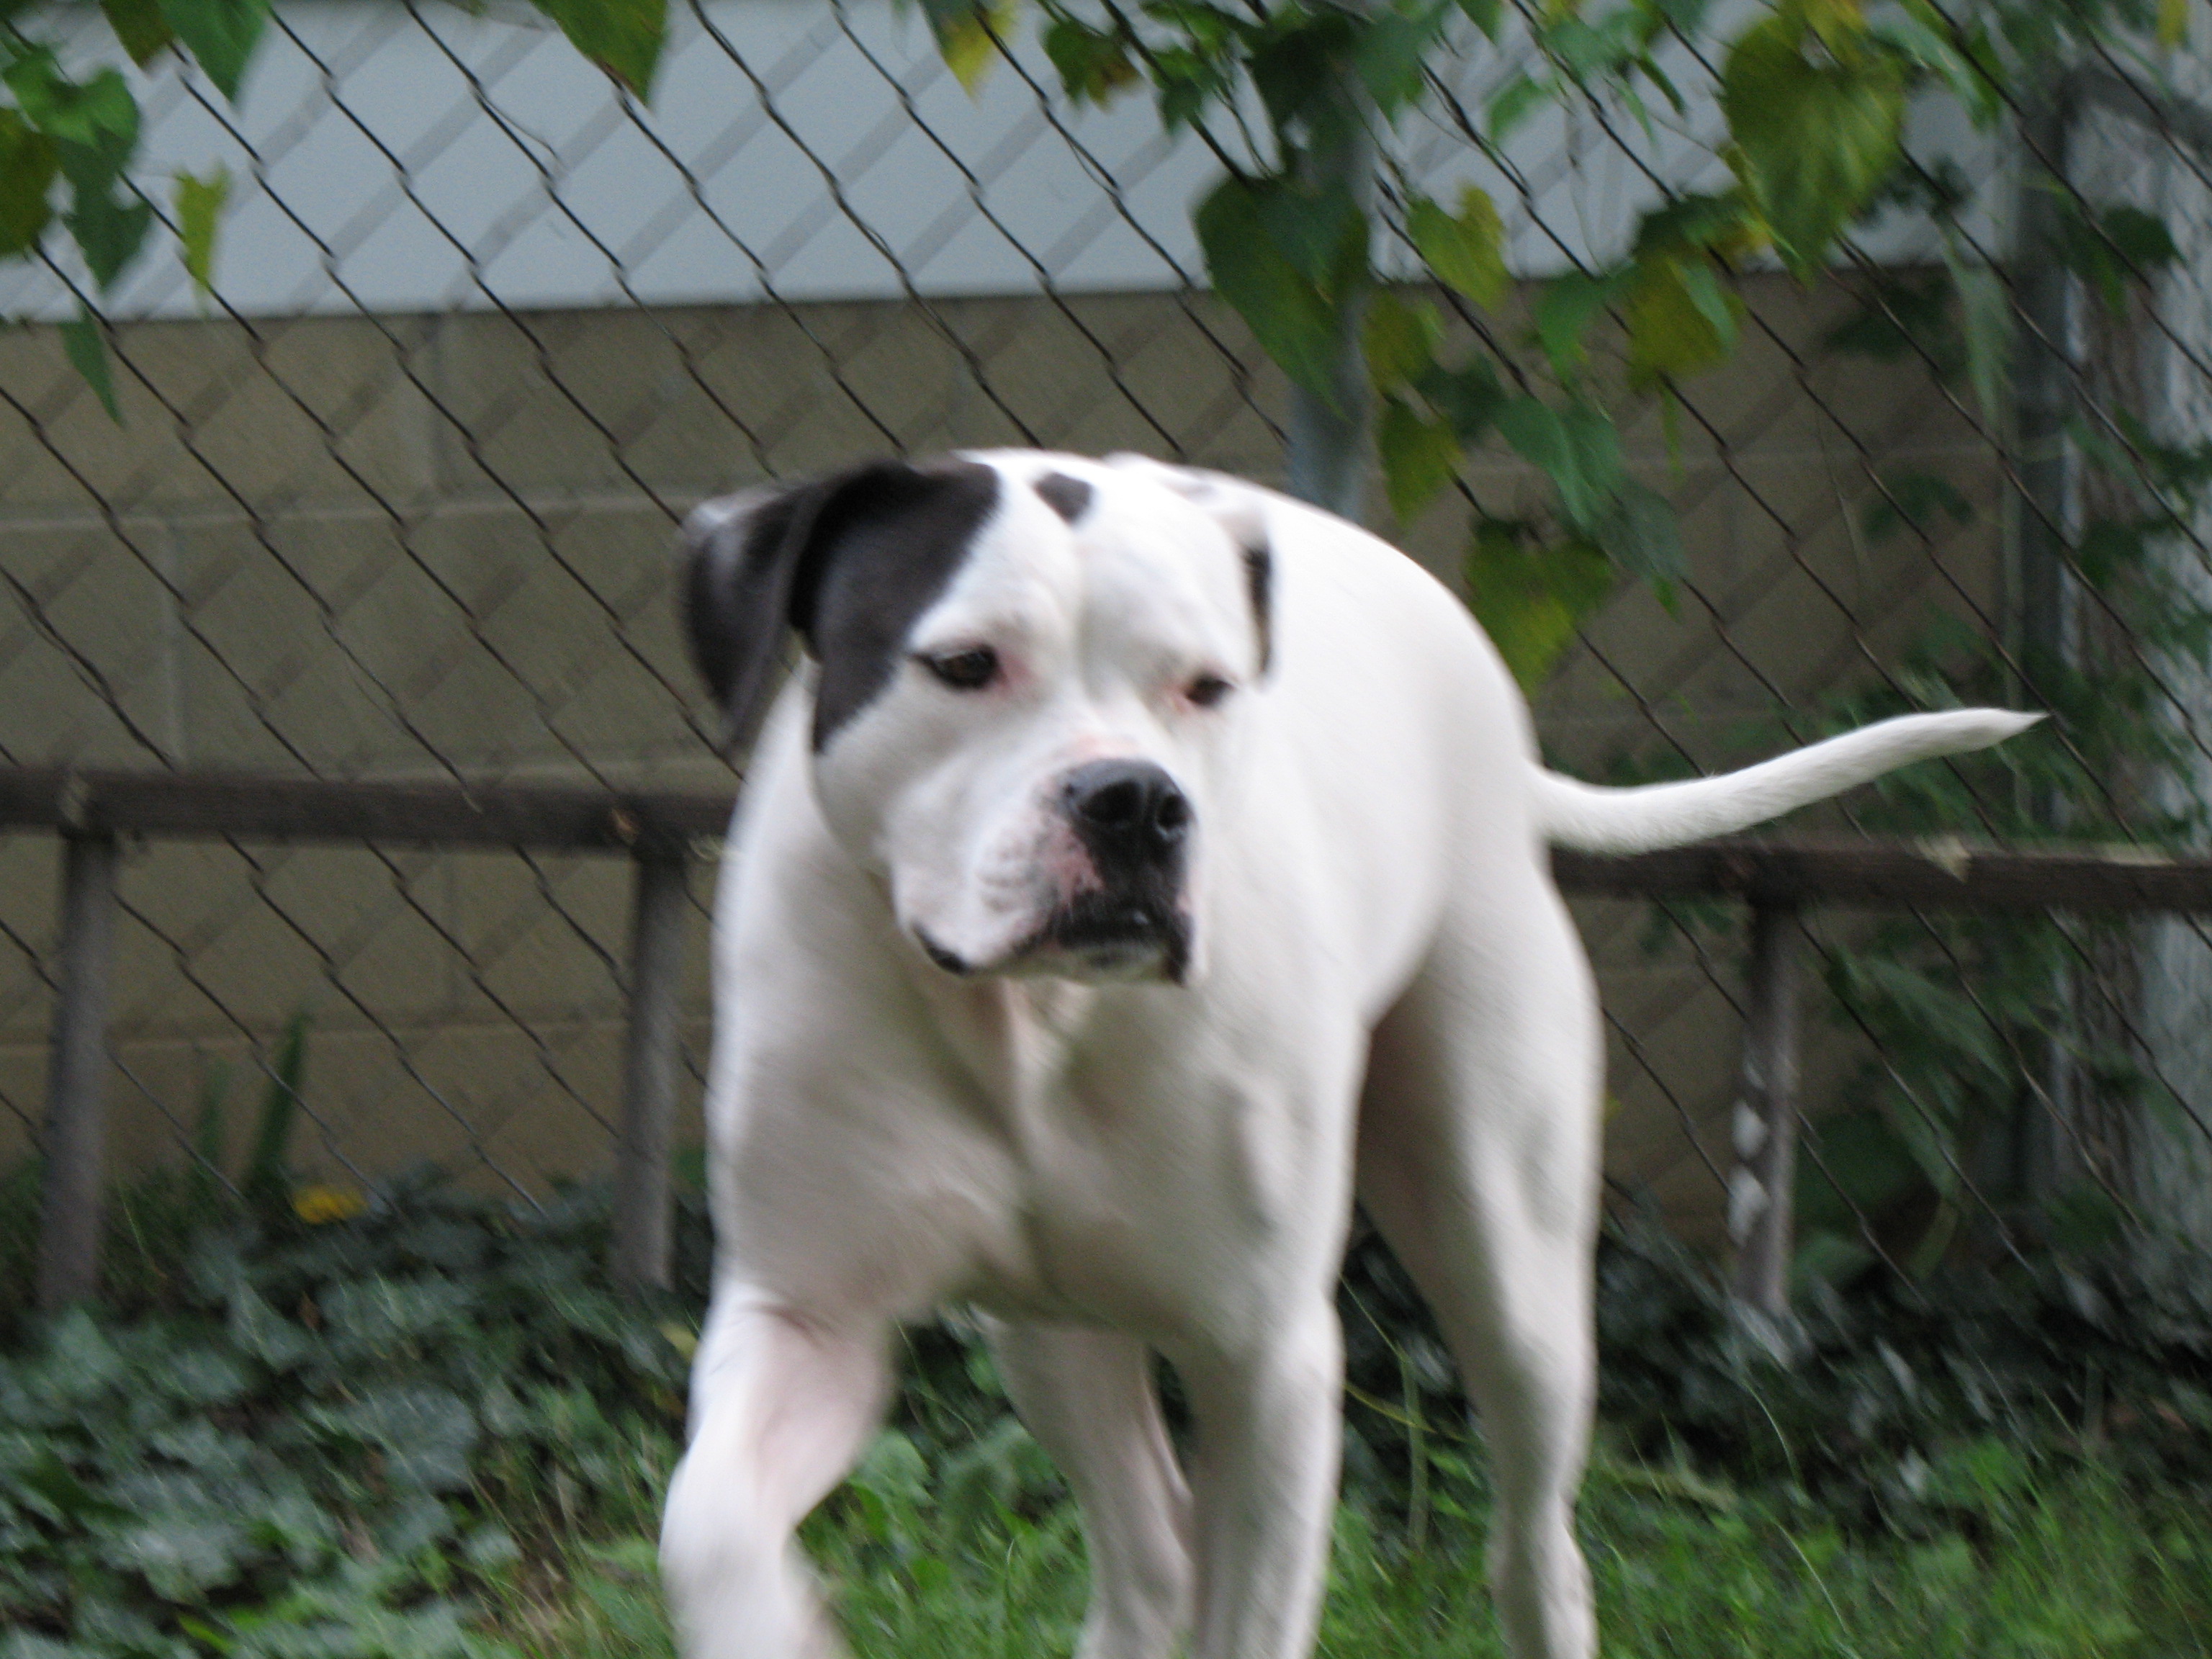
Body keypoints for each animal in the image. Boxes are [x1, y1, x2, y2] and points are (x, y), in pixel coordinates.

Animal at [659, 451, 2035, 1659]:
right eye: (962, 664)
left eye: (1204, 686)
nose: (1137, 799)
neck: (1034, 1026)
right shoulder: (806, 1314)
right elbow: (704, 1528)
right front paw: (781, 1625)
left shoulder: (1266, 1360)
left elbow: (1256, 1616)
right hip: (1049, 1328)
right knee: (1148, 1549)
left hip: (1507, 1263)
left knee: (1533, 1542)